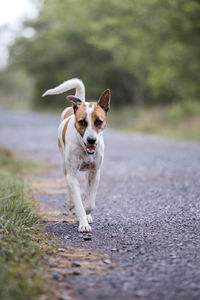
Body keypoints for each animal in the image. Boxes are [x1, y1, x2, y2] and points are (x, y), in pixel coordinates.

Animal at [42, 78, 111, 233]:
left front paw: (87, 213)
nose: (91, 140)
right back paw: (70, 203)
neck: (84, 148)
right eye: (82, 122)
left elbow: (90, 202)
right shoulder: (72, 175)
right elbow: (78, 202)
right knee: (68, 184)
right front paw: (83, 223)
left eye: (99, 122)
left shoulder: (95, 173)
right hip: (64, 164)